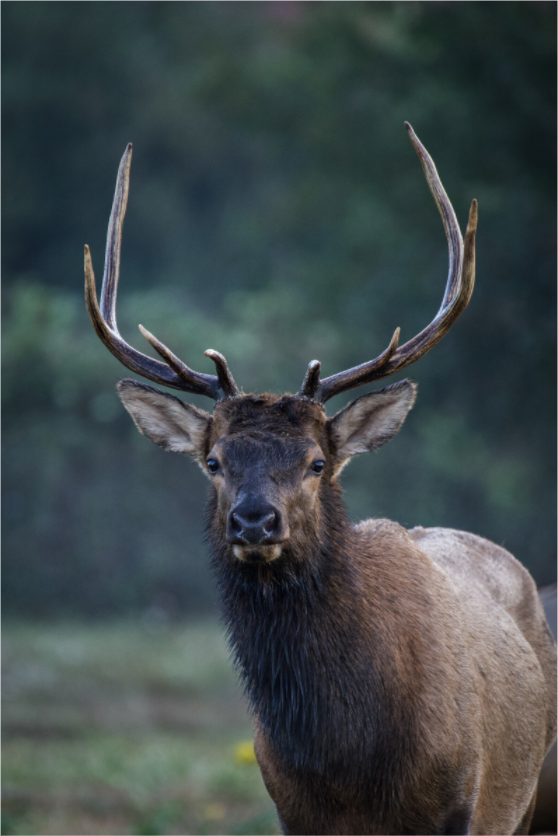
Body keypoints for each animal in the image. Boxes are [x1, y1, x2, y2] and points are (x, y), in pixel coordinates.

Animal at [84, 124, 558, 836]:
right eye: (214, 461)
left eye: (315, 462)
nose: (254, 520)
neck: (347, 761)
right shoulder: (291, 810)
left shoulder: (460, 798)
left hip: (527, 798)